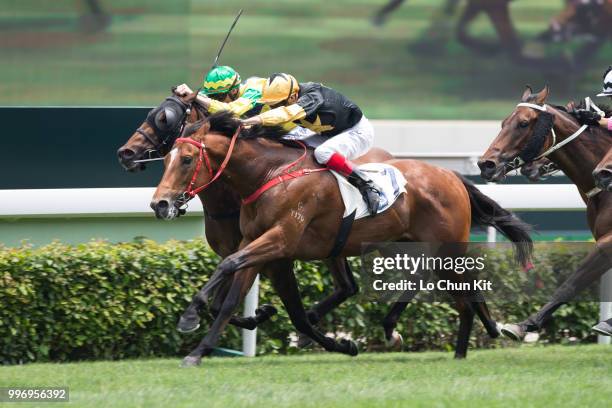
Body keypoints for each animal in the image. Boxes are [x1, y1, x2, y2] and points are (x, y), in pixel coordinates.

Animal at [152, 111, 532, 366]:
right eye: (167, 158)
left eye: (187, 159)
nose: (160, 203)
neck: (270, 173)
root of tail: (452, 176)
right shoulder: (257, 244)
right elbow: (232, 295)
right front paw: (200, 346)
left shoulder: (280, 242)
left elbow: (230, 268)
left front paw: (190, 320)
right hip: (408, 244)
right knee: (437, 284)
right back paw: (456, 347)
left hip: (445, 248)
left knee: (460, 287)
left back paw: (472, 335)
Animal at [478, 86, 612, 342]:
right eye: (503, 122)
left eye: (523, 123)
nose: (486, 164)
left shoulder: (608, 241)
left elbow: (571, 283)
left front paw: (524, 325)